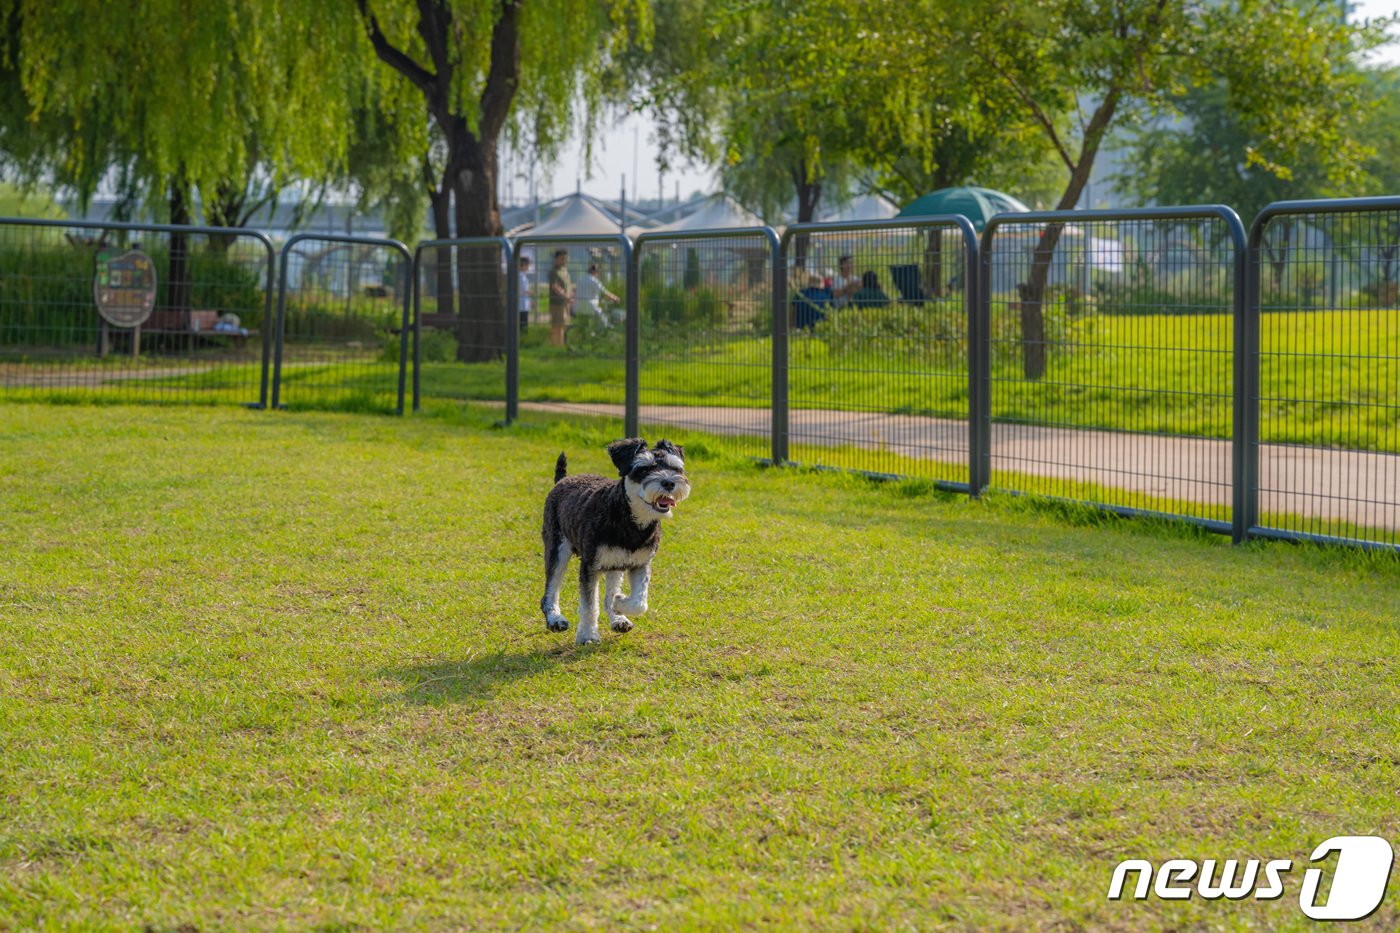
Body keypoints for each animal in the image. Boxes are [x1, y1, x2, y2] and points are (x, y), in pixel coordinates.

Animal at [537, 434, 691, 638]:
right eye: (643, 469)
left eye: (675, 468)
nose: (669, 483)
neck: (631, 521)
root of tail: (563, 480)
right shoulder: (590, 566)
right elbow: (589, 604)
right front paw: (588, 634)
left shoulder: (641, 563)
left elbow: (640, 602)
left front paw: (619, 603)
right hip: (558, 549)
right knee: (551, 588)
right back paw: (555, 618)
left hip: (615, 564)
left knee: (610, 590)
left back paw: (618, 618)